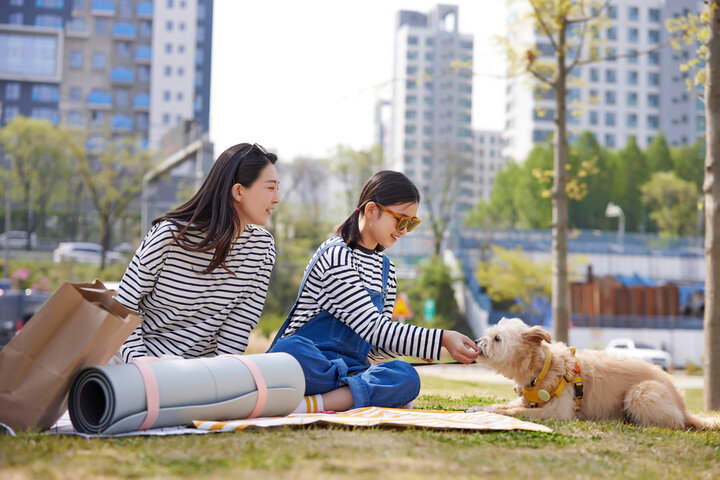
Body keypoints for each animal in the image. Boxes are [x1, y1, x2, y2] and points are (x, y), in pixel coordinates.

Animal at [470, 316, 716, 430]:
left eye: (497, 339)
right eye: (489, 334)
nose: (477, 342)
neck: (541, 368)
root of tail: (683, 407)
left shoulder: (558, 413)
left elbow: (515, 411)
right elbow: (504, 406)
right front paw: (480, 408)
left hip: (640, 393)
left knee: (674, 424)